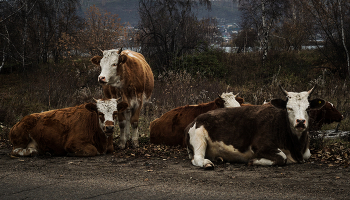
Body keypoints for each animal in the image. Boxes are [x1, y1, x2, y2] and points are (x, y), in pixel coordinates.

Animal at [186, 85, 326, 169]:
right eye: (289, 108)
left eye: (308, 108)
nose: (301, 121)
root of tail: (196, 119)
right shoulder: (260, 146)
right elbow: (282, 158)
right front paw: (254, 161)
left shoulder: (306, 153)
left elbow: (307, 154)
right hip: (198, 138)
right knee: (197, 158)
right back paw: (207, 163)